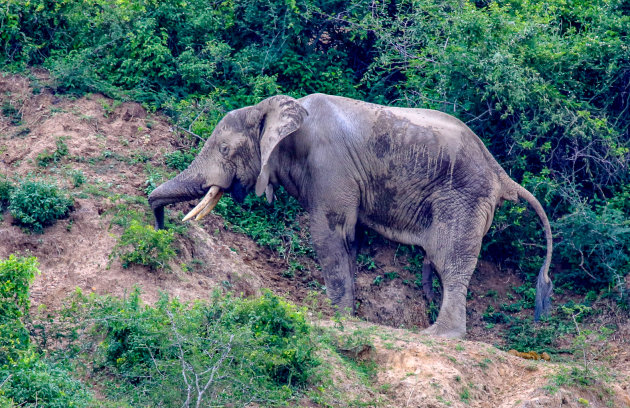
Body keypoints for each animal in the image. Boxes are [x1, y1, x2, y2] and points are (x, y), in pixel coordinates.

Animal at [148, 94, 552, 340]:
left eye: (225, 149)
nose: (161, 227)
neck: (278, 111)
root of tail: (501, 173)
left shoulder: (329, 166)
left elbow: (328, 234)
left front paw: (336, 317)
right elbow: (350, 241)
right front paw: (349, 316)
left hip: (465, 198)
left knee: (450, 261)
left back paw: (438, 335)